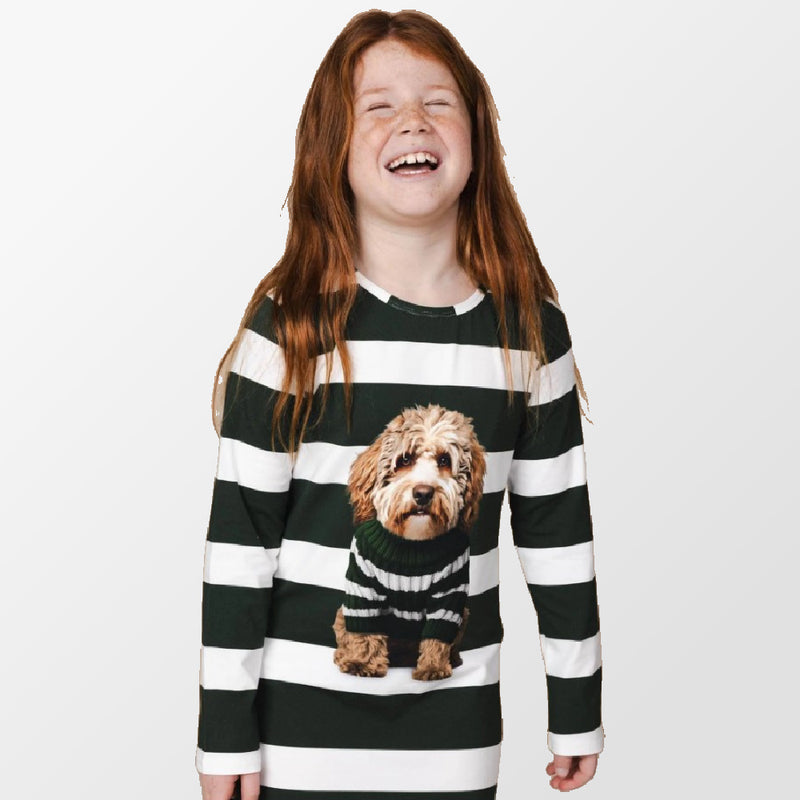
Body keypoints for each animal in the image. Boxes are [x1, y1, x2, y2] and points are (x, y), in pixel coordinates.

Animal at [333, 403, 486, 681]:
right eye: (405, 459)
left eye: (444, 460)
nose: (423, 493)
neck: (413, 543)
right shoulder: (362, 587)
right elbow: (364, 630)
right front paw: (362, 663)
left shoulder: (450, 593)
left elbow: (437, 634)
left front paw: (433, 668)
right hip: (343, 612)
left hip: (464, 612)